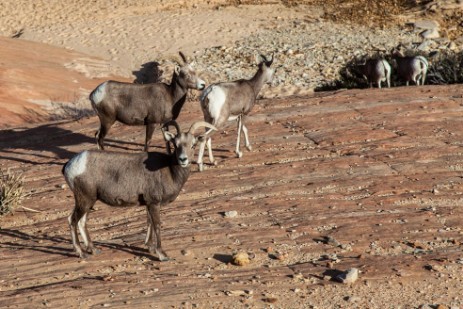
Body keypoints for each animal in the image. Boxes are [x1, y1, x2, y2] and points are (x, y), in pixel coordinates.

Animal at [61, 120, 218, 260]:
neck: (169, 170)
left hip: (90, 201)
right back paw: (81, 253)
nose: (183, 159)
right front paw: (162, 255)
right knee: (72, 220)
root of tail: (71, 165)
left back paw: (93, 250)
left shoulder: (149, 204)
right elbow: (157, 225)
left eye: (193, 145)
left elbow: (149, 223)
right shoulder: (154, 203)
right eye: (176, 144)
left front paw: (150, 247)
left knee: (82, 222)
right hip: (85, 200)